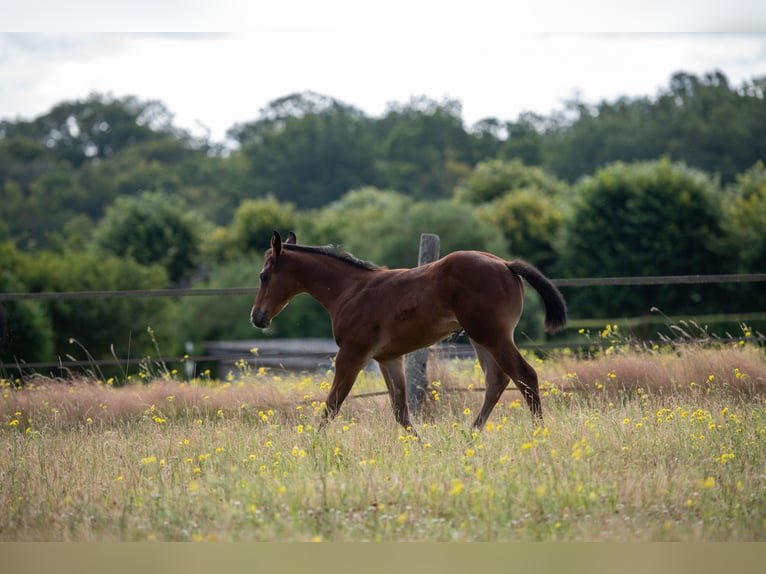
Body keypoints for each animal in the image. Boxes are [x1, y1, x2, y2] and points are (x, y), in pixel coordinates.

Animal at [249, 232, 568, 438]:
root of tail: (506, 264)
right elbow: (400, 411)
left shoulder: (352, 355)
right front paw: (422, 445)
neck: (350, 291)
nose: (257, 317)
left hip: (493, 335)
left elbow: (332, 405)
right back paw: (472, 435)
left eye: (264, 276)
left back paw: (539, 433)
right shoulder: (389, 358)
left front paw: (313, 446)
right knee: (497, 380)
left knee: (525, 376)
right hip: (481, 337)